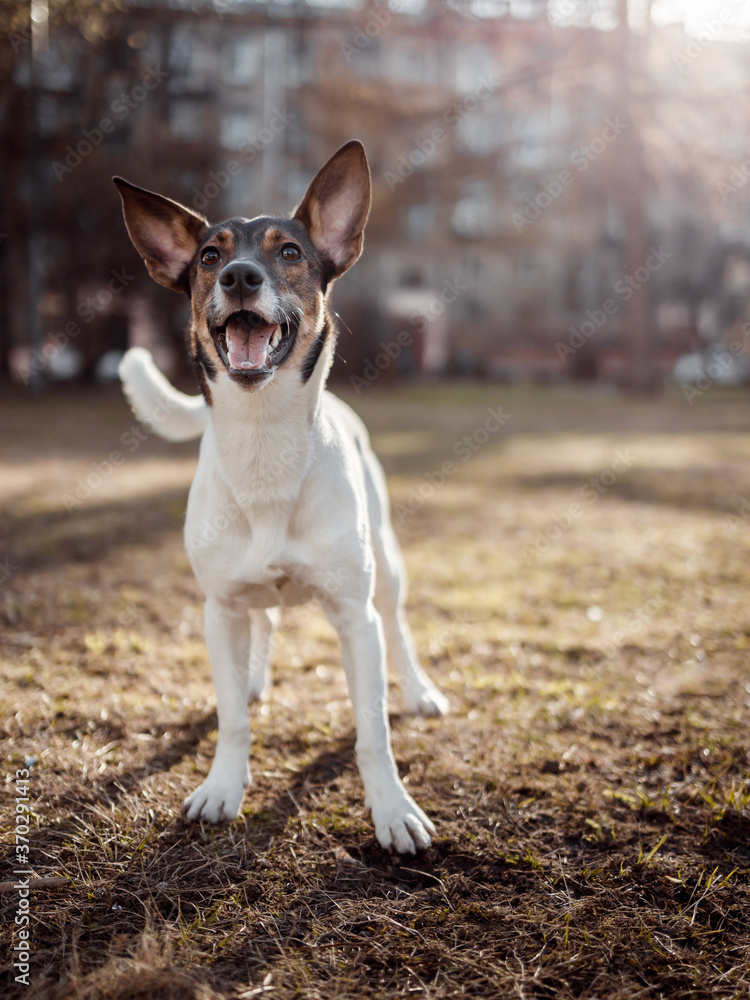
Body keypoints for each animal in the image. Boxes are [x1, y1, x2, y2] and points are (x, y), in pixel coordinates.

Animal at [114, 141, 450, 856]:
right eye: (208, 256)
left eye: (290, 251)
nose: (239, 276)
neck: (264, 441)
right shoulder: (218, 609)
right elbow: (232, 720)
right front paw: (223, 785)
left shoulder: (355, 617)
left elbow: (373, 731)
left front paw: (392, 809)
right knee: (262, 625)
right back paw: (252, 680)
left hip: (387, 566)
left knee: (399, 627)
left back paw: (419, 691)